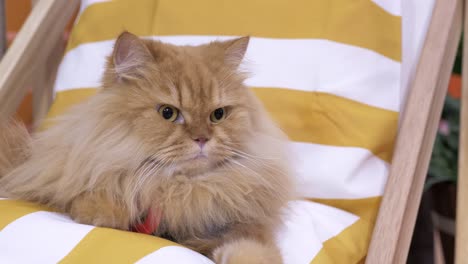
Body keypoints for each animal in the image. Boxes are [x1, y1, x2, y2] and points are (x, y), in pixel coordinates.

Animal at [0, 32, 292, 262]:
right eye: (168, 113)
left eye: (218, 115)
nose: (202, 139)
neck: (179, 189)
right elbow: (98, 195)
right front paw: (105, 212)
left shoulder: (243, 227)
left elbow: (252, 251)